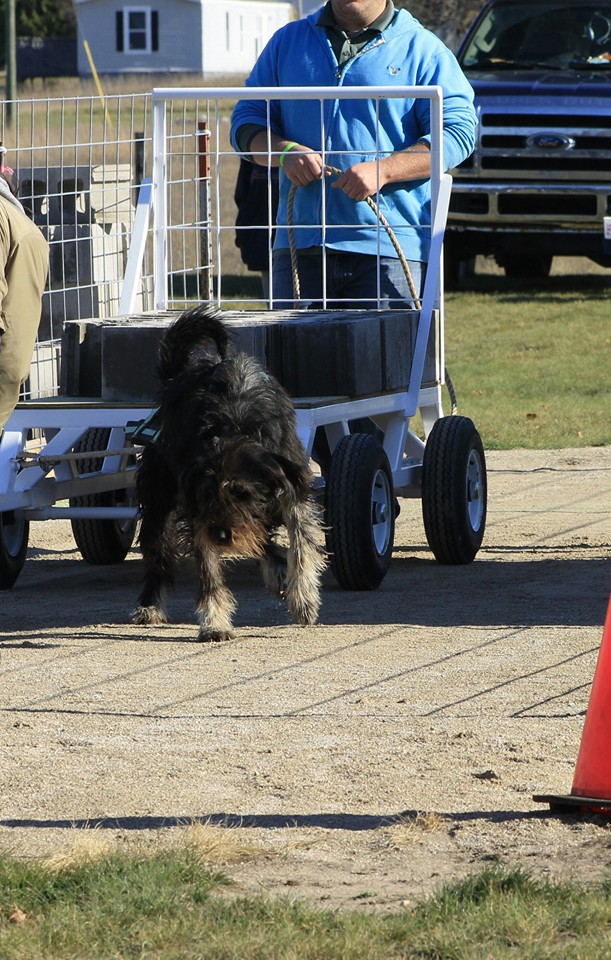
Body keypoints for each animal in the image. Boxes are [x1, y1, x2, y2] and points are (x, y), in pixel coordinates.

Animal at [132, 304, 326, 640]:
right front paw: (214, 623)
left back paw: (278, 573)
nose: (221, 536)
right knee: (159, 556)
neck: (234, 425)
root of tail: (175, 377)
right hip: (159, 498)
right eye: (208, 493)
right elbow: (209, 573)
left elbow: (300, 546)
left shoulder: (294, 489)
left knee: (262, 537)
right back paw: (150, 604)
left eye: (242, 492)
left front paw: (303, 599)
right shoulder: (198, 512)